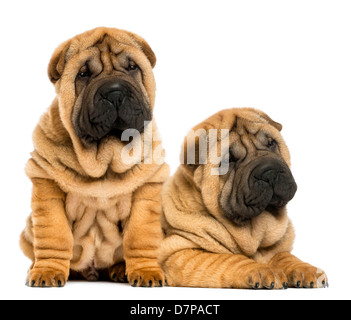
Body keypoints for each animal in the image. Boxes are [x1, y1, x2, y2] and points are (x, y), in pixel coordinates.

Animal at [19, 27, 170, 288]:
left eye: (132, 67)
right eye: (83, 74)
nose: (115, 92)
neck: (104, 157)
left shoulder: (147, 189)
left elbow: (139, 236)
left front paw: (146, 271)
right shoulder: (47, 188)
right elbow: (54, 236)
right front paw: (47, 271)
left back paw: (120, 270)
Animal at [161, 109, 328, 288]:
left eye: (271, 143)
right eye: (229, 160)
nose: (269, 172)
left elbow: (283, 255)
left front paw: (307, 269)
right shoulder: (179, 252)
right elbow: (230, 259)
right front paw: (263, 271)